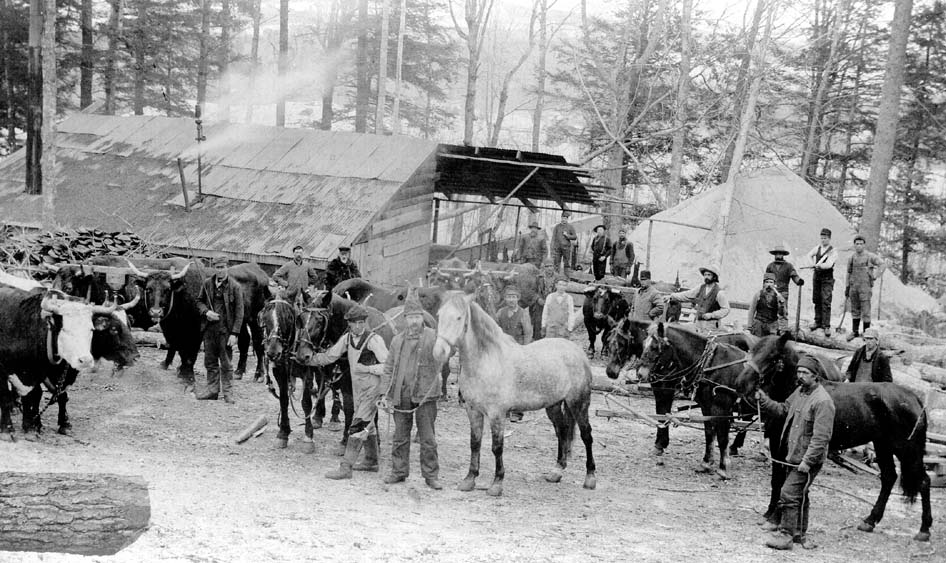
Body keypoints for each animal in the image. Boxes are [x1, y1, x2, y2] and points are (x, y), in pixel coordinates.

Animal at [432, 294, 592, 496]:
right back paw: (556, 472)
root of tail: (578, 352)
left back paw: (590, 479)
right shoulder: (473, 411)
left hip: (579, 403)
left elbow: (497, 447)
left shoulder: (496, 414)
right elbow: (474, 443)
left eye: (459, 318)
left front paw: (496, 484)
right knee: (562, 431)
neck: (487, 361)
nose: (439, 352)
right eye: (439, 315)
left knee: (587, 435)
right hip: (553, 405)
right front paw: (469, 480)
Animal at [608, 322, 756, 468]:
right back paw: (735, 446)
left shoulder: (666, 388)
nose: (610, 372)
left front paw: (660, 444)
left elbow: (662, 412)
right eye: (609, 341)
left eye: (621, 343)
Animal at [736, 334, 928, 540]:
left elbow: (784, 482)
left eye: (773, 357)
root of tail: (915, 399)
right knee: (889, 477)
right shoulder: (777, 445)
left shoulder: (787, 447)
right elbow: (776, 481)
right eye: (752, 351)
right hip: (883, 446)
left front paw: (775, 518)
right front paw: (769, 514)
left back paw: (924, 530)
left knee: (924, 481)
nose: (741, 384)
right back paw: (870, 521)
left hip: (907, 450)